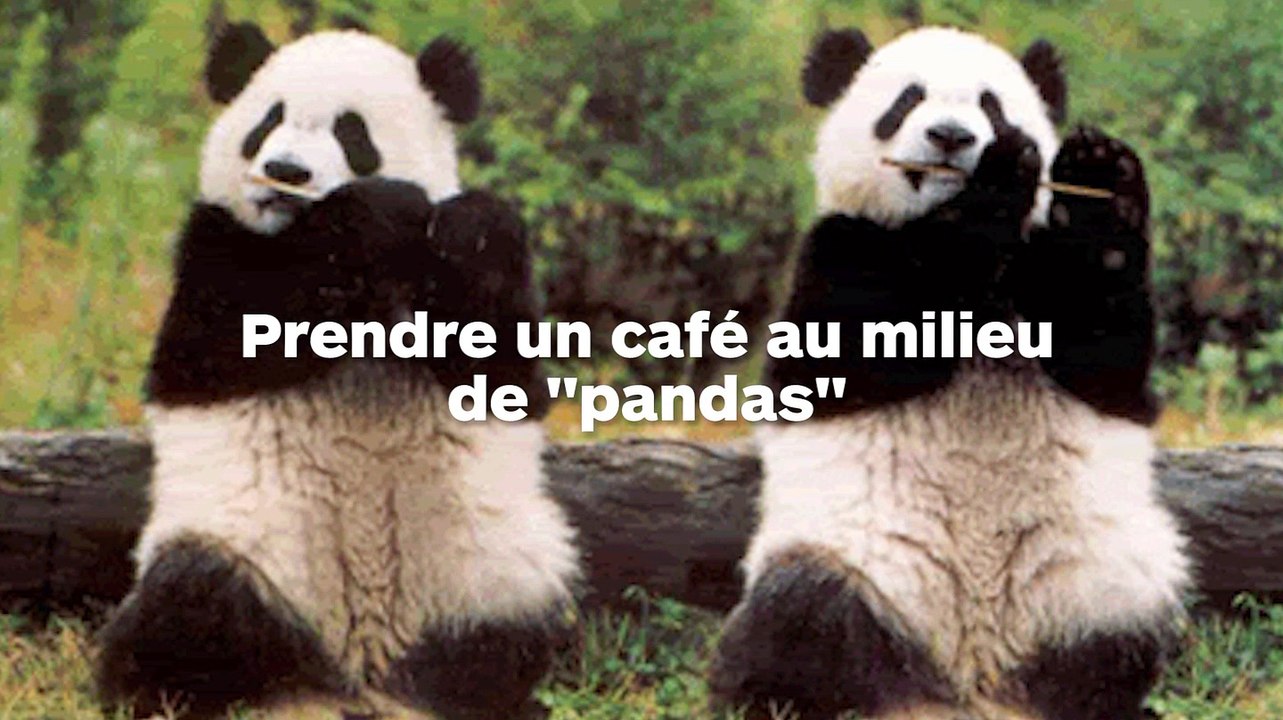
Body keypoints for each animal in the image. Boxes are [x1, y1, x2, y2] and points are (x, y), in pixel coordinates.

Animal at [94, 23, 579, 720]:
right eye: (267, 122)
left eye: (353, 133)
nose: (285, 172)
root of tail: (358, 676)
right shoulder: (213, 245)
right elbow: (224, 342)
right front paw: (374, 213)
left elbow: (503, 372)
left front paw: (470, 226)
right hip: (253, 552)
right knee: (190, 600)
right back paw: (163, 689)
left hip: (488, 569)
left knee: (520, 629)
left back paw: (488, 695)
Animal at [709, 26, 1189, 720]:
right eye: (907, 100)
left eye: (992, 105)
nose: (952, 138)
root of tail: (972, 690)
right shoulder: (838, 250)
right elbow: (860, 348)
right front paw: (996, 185)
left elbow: (1104, 356)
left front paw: (1098, 176)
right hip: (862, 568)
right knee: (799, 613)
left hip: (1094, 578)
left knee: (1122, 632)